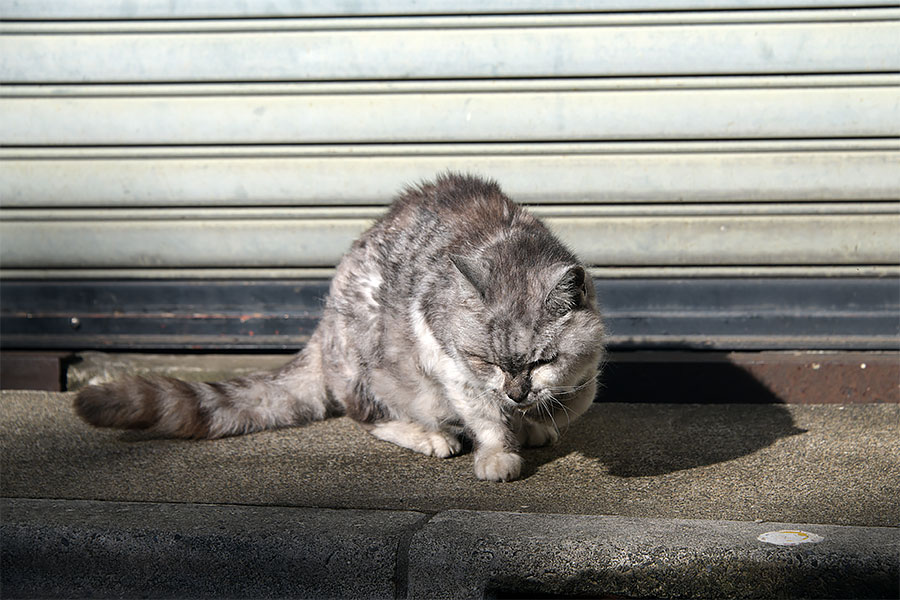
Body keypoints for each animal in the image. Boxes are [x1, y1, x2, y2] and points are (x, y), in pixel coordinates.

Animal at [75, 173, 604, 482]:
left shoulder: (583, 369)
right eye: (486, 360)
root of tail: (324, 321)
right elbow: (486, 415)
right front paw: (499, 450)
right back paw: (428, 435)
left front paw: (536, 422)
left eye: (542, 359)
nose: (517, 391)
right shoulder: (447, 360)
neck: (509, 245)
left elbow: (577, 398)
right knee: (368, 416)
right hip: (366, 355)